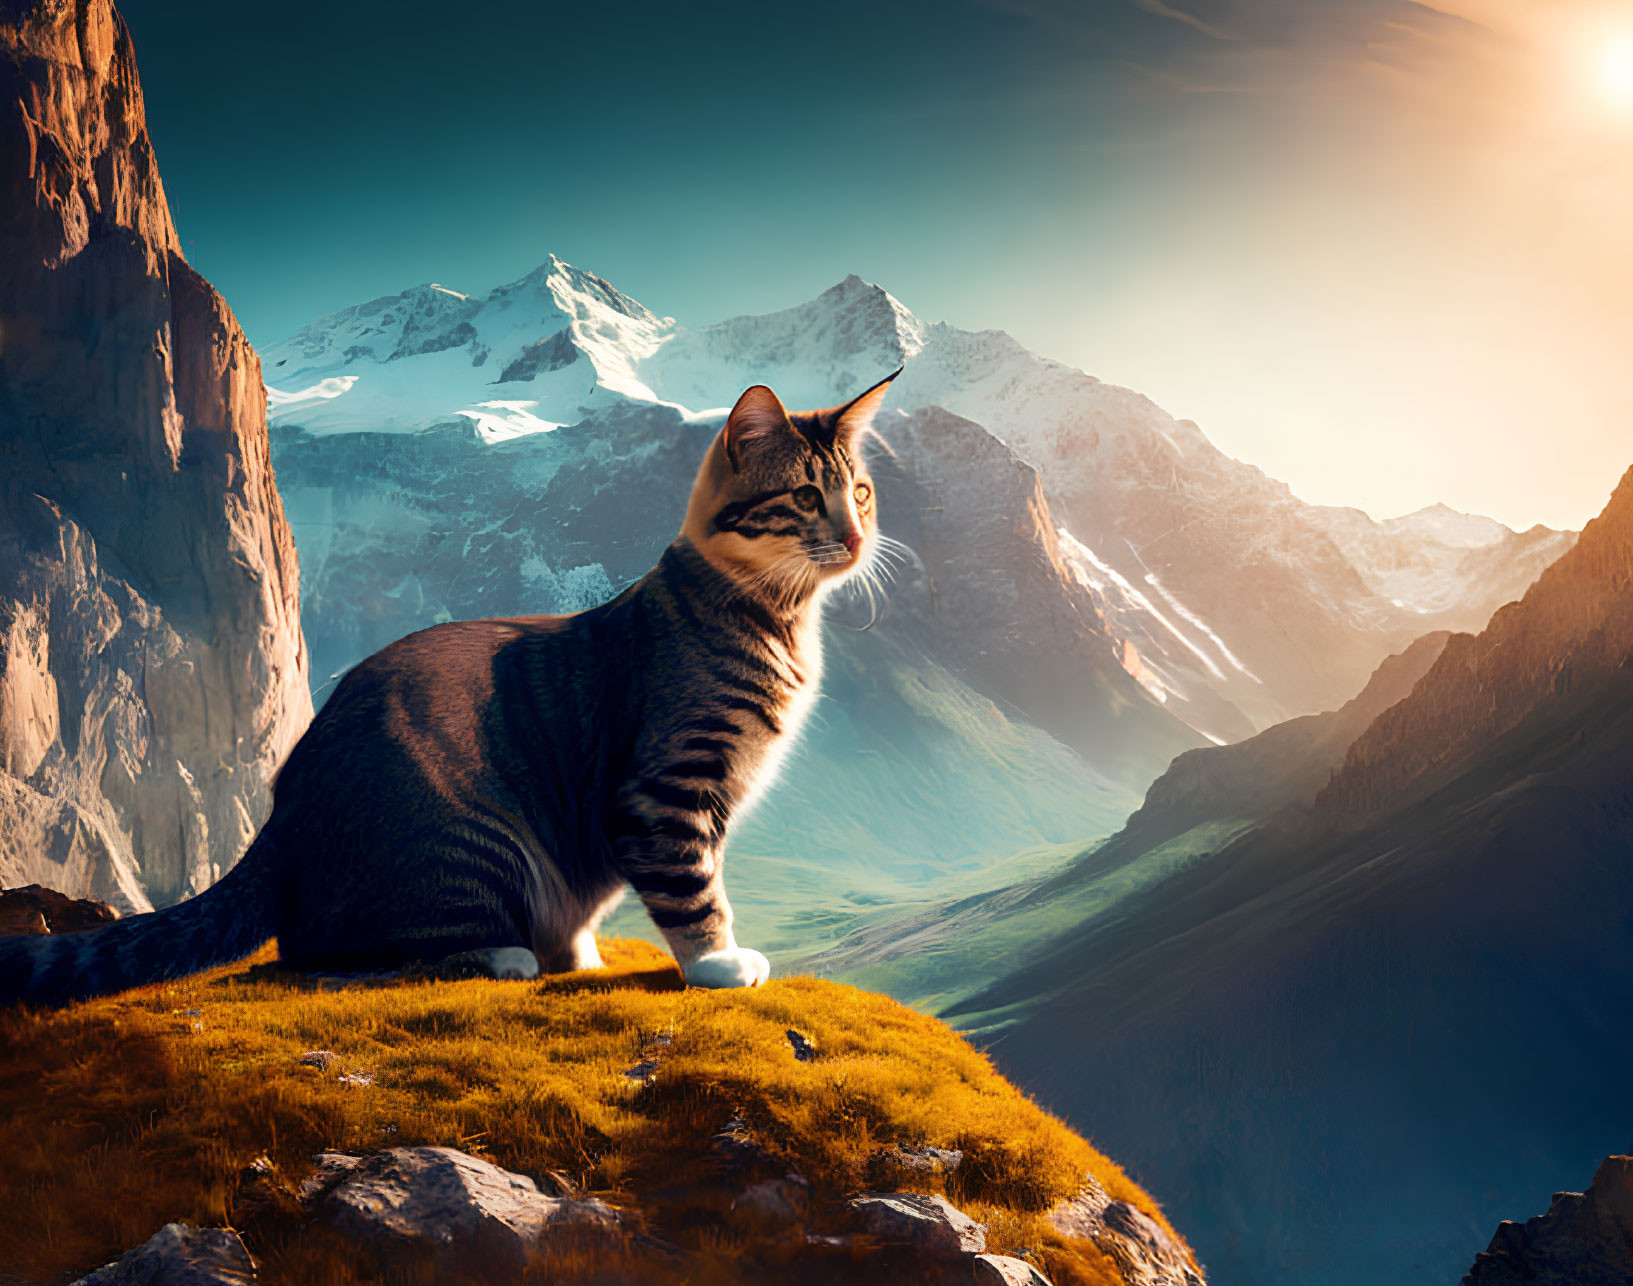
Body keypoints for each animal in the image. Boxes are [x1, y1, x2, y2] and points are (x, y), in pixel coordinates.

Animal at [0, 368, 907, 1005]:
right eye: (805, 497)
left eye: (860, 492)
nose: (857, 536)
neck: (776, 618)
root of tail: (279, 822)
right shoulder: (663, 790)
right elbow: (691, 884)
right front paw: (716, 962)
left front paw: (588, 955)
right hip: (469, 838)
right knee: (327, 949)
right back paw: (504, 953)